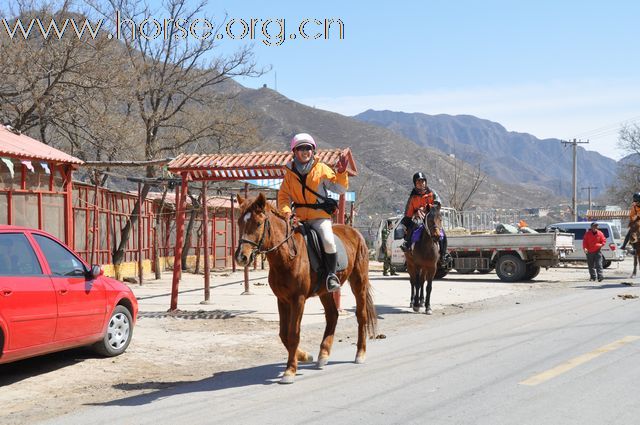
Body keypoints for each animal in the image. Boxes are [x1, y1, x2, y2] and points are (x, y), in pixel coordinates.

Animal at [234, 194, 376, 382]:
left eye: (258, 223)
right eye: (239, 222)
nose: (241, 257)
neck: (286, 256)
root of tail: (355, 232)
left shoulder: (298, 299)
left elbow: (293, 333)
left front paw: (290, 370)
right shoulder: (282, 300)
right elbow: (283, 333)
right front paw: (303, 356)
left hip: (359, 283)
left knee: (361, 315)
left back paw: (360, 353)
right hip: (325, 292)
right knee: (332, 315)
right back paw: (323, 354)